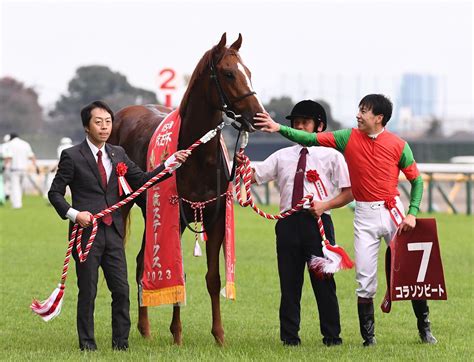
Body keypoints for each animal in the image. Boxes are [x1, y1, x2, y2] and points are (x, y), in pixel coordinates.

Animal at [109, 33, 264, 346]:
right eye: (229, 73)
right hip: (127, 202)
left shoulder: (216, 220)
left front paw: (219, 335)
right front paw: (177, 333)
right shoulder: (176, 219)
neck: (198, 155)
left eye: (249, 72)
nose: (257, 116)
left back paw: (145, 327)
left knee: (142, 261)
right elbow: (177, 273)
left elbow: (213, 278)